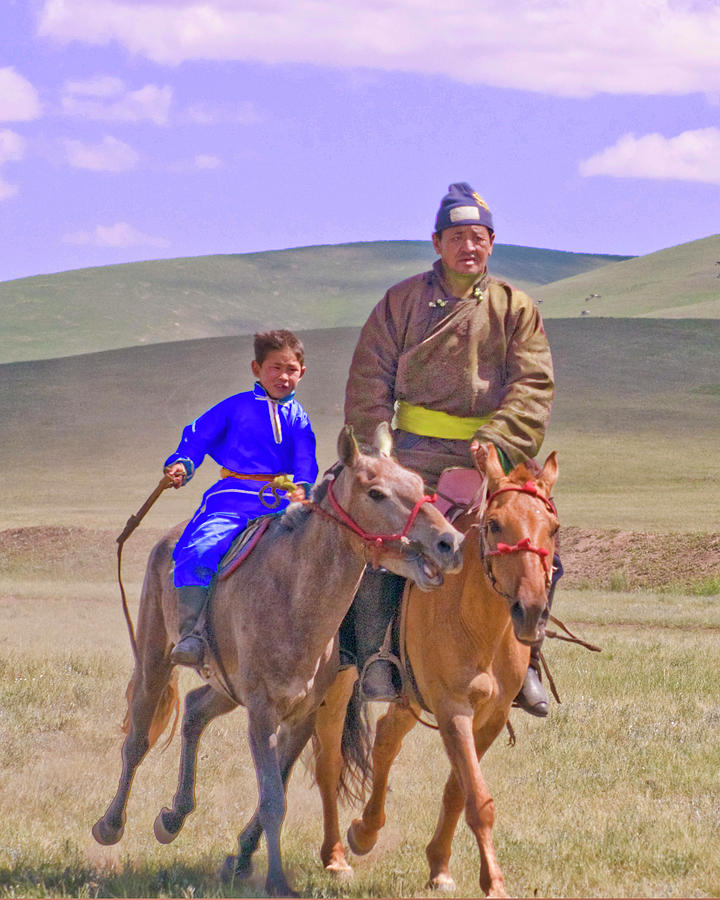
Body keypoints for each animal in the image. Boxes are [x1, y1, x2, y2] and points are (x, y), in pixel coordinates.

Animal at [91, 426, 462, 896]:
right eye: (376, 492)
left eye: (417, 484)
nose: (450, 543)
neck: (295, 597)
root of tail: (168, 539)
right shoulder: (263, 711)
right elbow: (271, 798)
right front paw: (277, 881)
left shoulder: (301, 713)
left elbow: (277, 790)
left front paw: (244, 863)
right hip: (155, 657)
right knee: (138, 737)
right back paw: (110, 825)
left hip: (227, 686)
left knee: (194, 710)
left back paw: (172, 818)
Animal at [314, 444, 556, 900]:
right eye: (495, 525)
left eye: (553, 528)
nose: (532, 610)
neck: (477, 623)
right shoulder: (452, 708)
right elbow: (477, 799)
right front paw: (494, 883)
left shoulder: (491, 716)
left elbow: (458, 792)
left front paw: (440, 867)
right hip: (337, 685)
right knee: (330, 764)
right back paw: (336, 856)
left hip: (408, 693)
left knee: (386, 738)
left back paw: (365, 831)